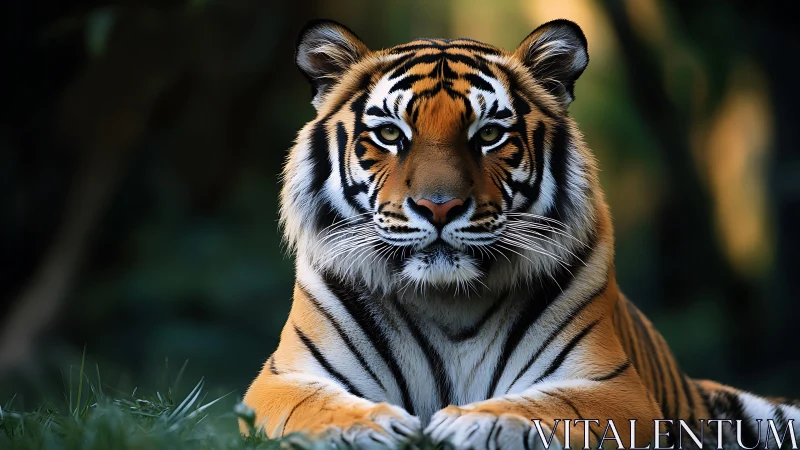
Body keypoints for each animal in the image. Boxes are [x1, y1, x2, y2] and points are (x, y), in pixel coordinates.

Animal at [241, 18, 799, 449]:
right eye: (390, 134)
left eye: (489, 134)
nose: (438, 207)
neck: (448, 301)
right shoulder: (283, 379)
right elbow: (317, 409)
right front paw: (373, 429)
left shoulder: (611, 386)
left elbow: (546, 408)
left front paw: (468, 424)